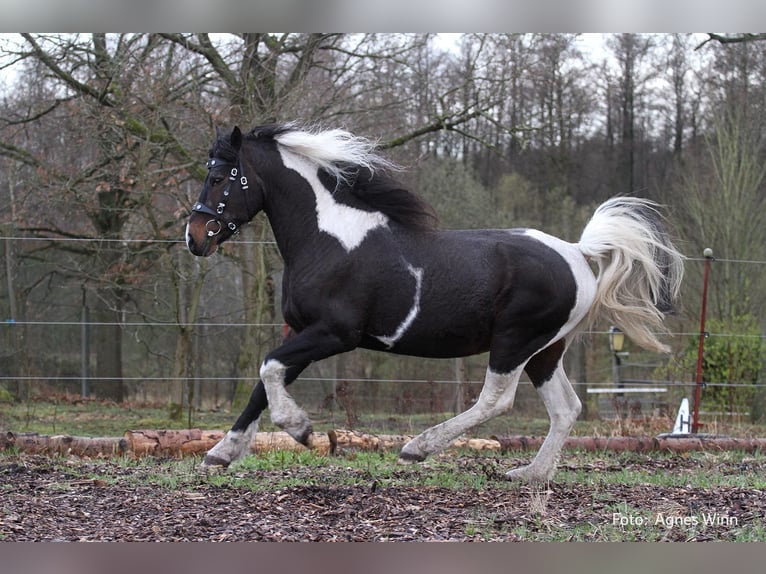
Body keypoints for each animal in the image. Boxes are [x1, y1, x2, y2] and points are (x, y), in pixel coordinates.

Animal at [184, 124, 684, 484]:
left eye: (219, 177)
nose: (194, 238)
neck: (327, 239)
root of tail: (579, 254)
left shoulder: (334, 333)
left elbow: (268, 370)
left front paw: (300, 429)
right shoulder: (303, 332)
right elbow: (263, 382)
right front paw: (220, 454)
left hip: (515, 340)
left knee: (496, 400)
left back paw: (417, 448)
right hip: (546, 350)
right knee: (566, 408)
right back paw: (529, 473)